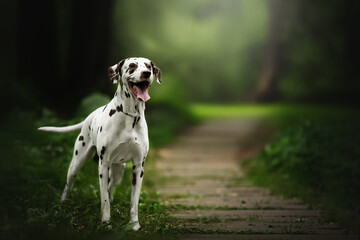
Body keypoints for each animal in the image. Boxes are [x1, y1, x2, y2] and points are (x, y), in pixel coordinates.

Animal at [38, 56, 161, 231]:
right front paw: (106, 223)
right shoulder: (103, 165)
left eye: (149, 66)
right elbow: (104, 200)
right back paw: (61, 206)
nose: (146, 73)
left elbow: (134, 202)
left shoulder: (138, 167)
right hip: (77, 163)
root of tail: (89, 116)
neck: (130, 116)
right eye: (132, 65)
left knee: (110, 189)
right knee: (68, 186)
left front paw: (134, 224)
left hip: (118, 171)